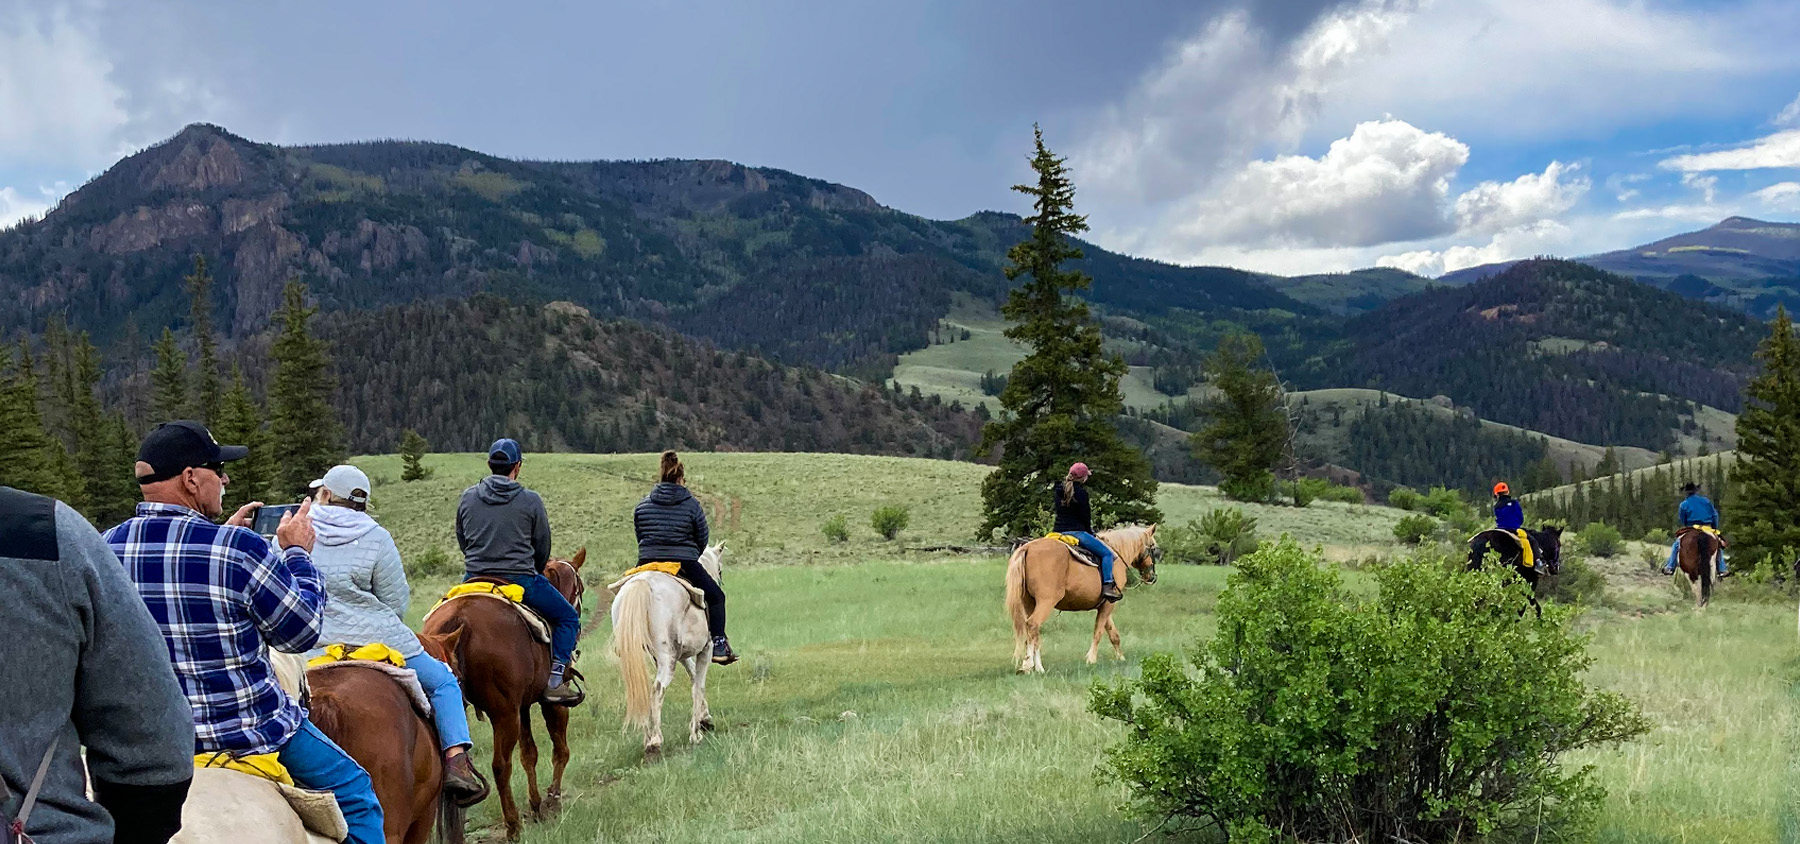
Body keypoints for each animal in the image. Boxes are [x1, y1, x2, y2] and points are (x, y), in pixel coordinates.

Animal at [417, 550, 586, 838]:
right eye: (581, 588)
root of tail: (460, 619)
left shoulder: (522, 706)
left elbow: (529, 754)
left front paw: (537, 805)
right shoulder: (551, 704)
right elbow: (560, 750)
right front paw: (552, 800)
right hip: (504, 714)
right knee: (500, 766)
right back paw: (513, 826)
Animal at [604, 547, 716, 755]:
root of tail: (643, 582)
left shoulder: (681, 656)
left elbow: (693, 676)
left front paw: (704, 719)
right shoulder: (706, 649)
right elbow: (698, 686)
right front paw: (695, 733)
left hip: (641, 656)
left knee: (641, 691)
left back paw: (648, 738)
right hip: (667, 658)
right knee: (657, 691)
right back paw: (655, 742)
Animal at [1008, 521, 1159, 673]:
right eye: (1153, 547)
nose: (1152, 577)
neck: (1117, 554)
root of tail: (1027, 548)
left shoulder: (1105, 604)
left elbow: (1113, 634)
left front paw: (1121, 658)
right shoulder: (1109, 604)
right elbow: (1098, 631)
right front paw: (1091, 659)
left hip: (1029, 603)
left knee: (1032, 633)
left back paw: (1036, 667)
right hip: (1046, 602)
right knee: (1033, 625)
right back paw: (1030, 665)